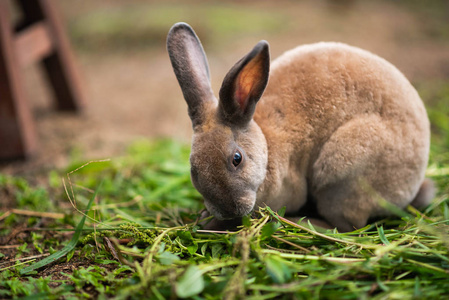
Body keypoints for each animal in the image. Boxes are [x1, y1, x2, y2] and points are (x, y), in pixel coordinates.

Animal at [166, 22, 432, 232]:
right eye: (193, 170)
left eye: (236, 159)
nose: (229, 210)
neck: (267, 148)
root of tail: (412, 185)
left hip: (343, 172)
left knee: (348, 225)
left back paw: (300, 221)